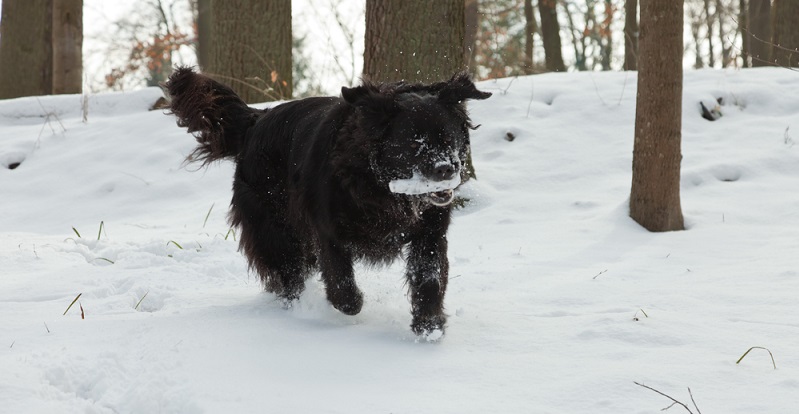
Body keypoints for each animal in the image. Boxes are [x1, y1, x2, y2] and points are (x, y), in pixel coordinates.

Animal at [166, 65, 490, 336]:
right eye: (413, 143)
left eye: (448, 139)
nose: (447, 169)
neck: (380, 185)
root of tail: (256, 120)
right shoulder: (328, 231)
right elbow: (342, 284)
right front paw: (350, 304)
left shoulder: (430, 233)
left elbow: (429, 277)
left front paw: (429, 326)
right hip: (275, 228)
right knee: (288, 272)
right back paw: (296, 305)